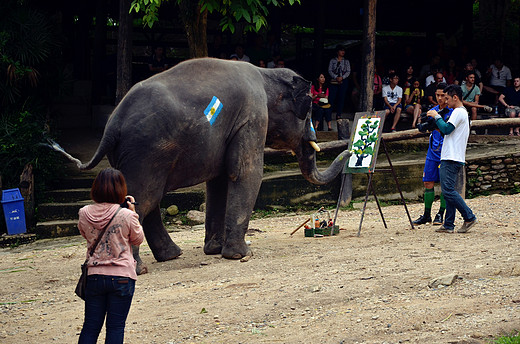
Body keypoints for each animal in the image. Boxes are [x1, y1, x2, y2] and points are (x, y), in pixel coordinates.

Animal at [59, 58, 350, 274]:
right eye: (309, 109)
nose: (348, 151)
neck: (265, 74)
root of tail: (111, 125)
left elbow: (219, 181)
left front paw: (214, 250)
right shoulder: (252, 116)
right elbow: (246, 173)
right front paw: (240, 254)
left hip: (134, 156)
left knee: (148, 200)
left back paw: (171, 256)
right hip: (145, 152)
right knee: (144, 198)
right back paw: (137, 268)